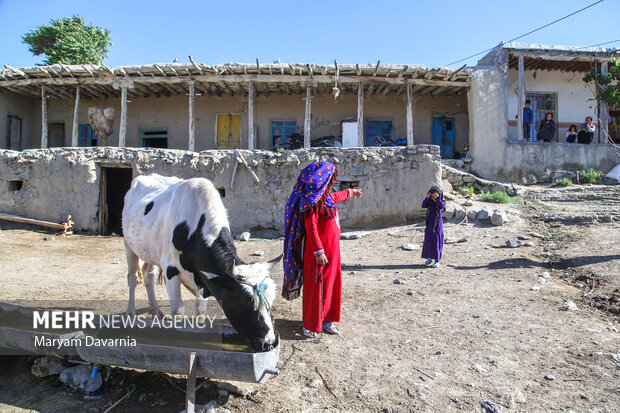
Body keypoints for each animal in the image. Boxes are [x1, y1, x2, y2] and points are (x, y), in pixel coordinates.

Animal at [121, 174, 280, 350]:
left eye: (271, 300)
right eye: (246, 301)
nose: (269, 342)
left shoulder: (204, 277)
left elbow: (201, 311)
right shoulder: (171, 270)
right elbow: (178, 311)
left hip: (150, 251)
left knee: (148, 274)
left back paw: (156, 311)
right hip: (129, 245)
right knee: (133, 278)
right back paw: (130, 312)